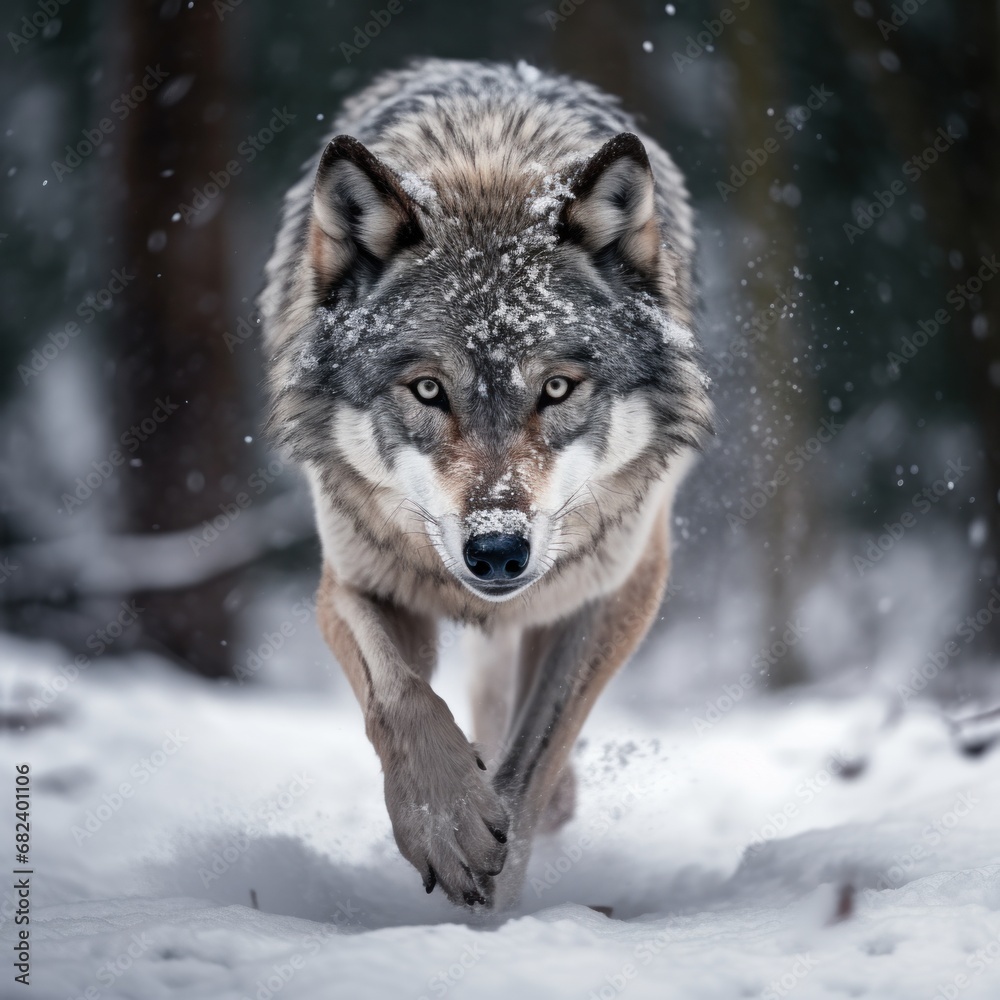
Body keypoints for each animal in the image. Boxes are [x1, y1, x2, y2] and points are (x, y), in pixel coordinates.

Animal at [259, 59, 712, 910]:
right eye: (429, 390)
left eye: (557, 389)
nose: (497, 550)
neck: (487, 162)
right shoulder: (353, 580)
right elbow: (399, 695)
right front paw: (449, 827)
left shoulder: (616, 588)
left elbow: (532, 755)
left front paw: (498, 904)